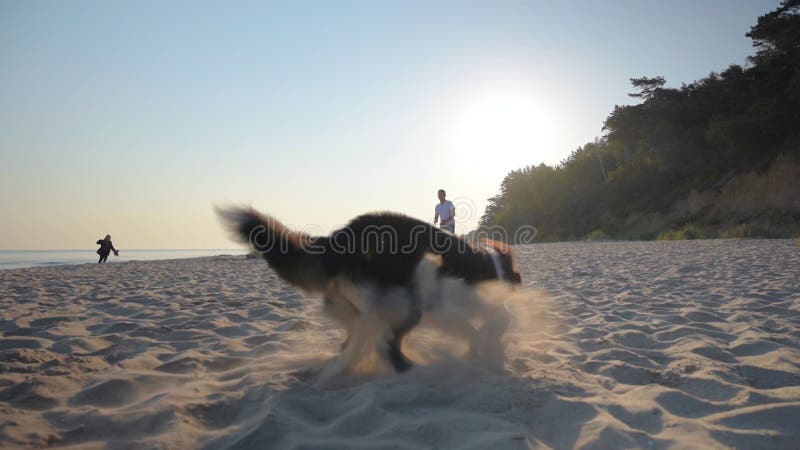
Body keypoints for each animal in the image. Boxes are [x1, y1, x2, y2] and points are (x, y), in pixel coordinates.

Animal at [219, 207, 520, 372]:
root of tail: (335, 241)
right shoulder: (444, 305)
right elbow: (473, 328)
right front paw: (483, 346)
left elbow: (474, 329)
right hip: (402, 302)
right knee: (387, 343)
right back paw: (407, 369)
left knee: (355, 339)